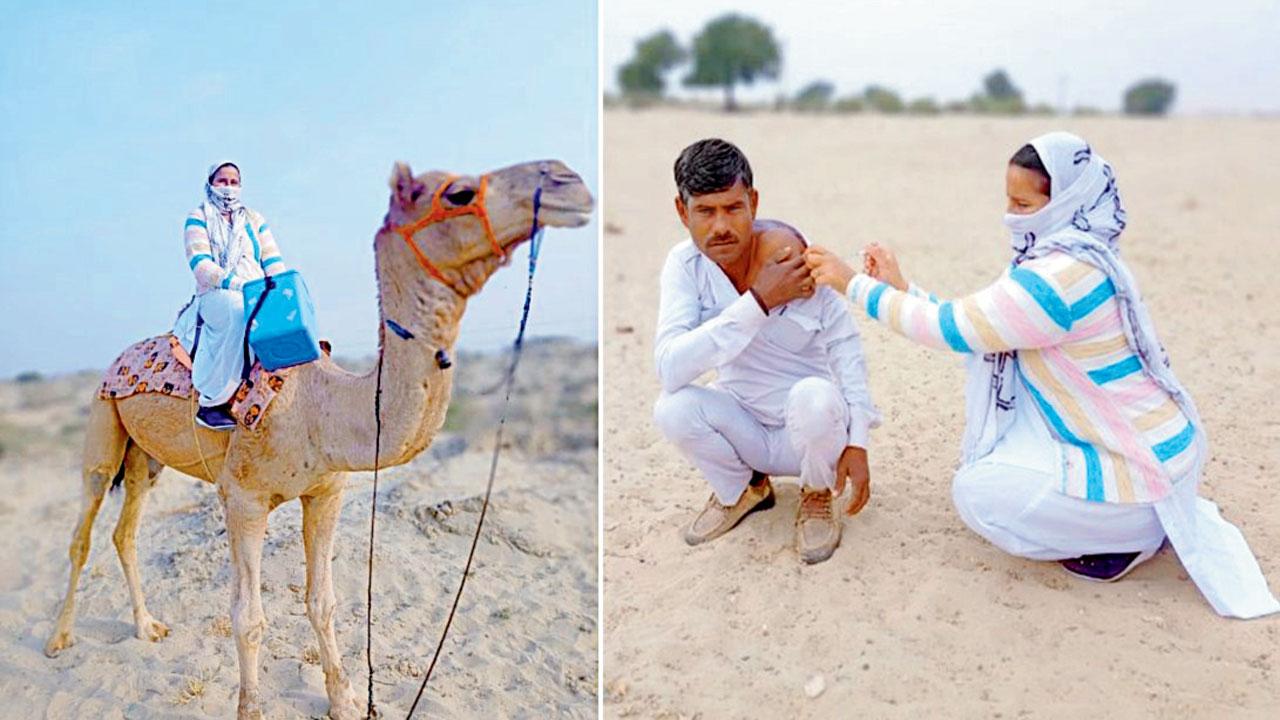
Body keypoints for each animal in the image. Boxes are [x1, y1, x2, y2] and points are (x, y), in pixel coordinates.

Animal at [43, 159, 593, 717]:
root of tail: (118, 359)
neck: (318, 406)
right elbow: (248, 616)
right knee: (84, 529)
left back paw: (147, 627)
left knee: (125, 531)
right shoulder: (242, 498)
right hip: (103, 423)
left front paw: (344, 698)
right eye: (457, 193)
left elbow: (322, 601)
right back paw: (59, 639)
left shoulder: (327, 491)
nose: (567, 179)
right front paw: (252, 708)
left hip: (145, 459)